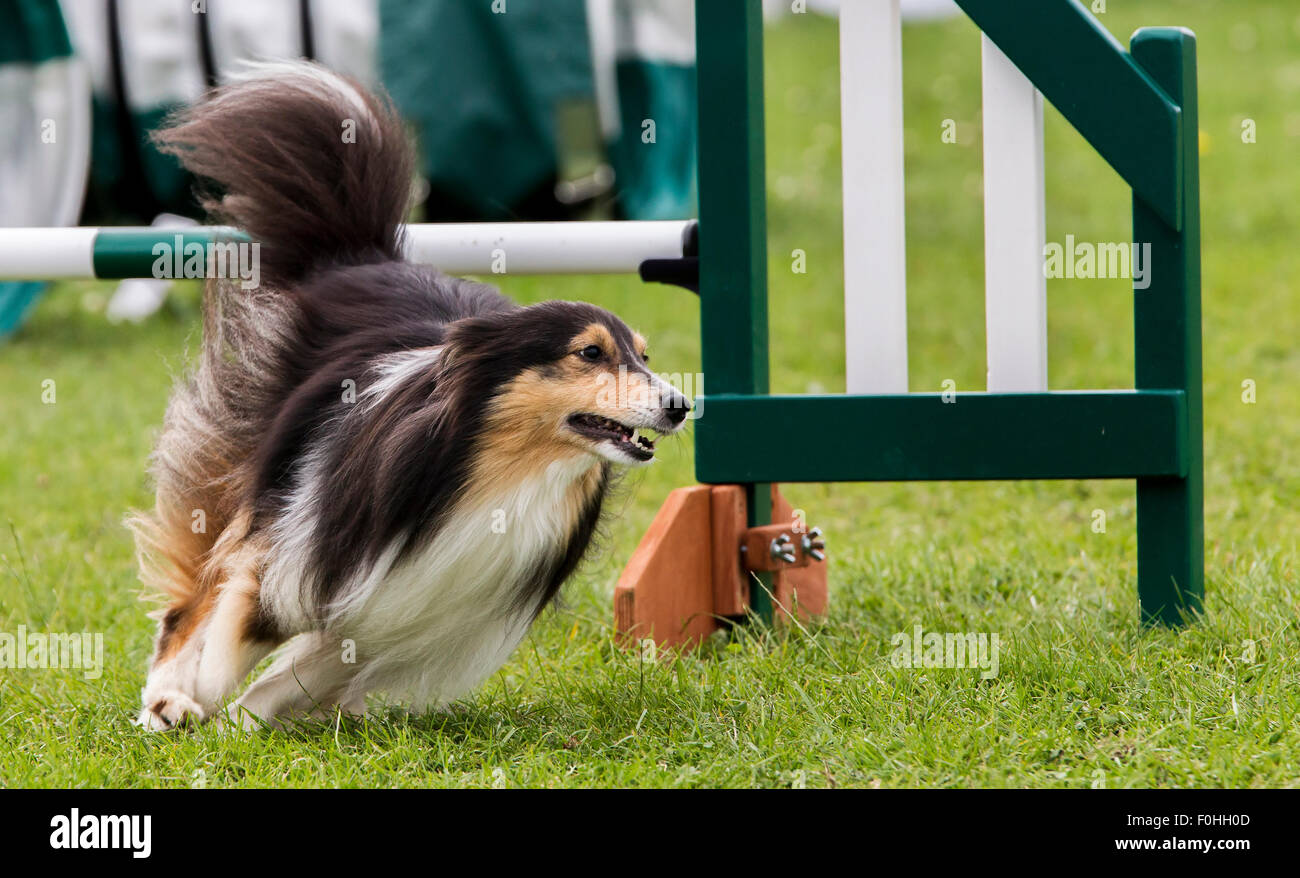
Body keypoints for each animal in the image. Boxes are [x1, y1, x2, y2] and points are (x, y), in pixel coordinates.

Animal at [131, 61, 691, 733]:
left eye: (644, 357)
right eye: (590, 353)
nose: (681, 406)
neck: (504, 476)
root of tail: (360, 255)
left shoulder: (412, 609)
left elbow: (299, 674)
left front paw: (245, 721)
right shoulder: (302, 546)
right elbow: (236, 629)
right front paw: (200, 707)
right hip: (251, 461)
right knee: (191, 600)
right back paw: (166, 695)